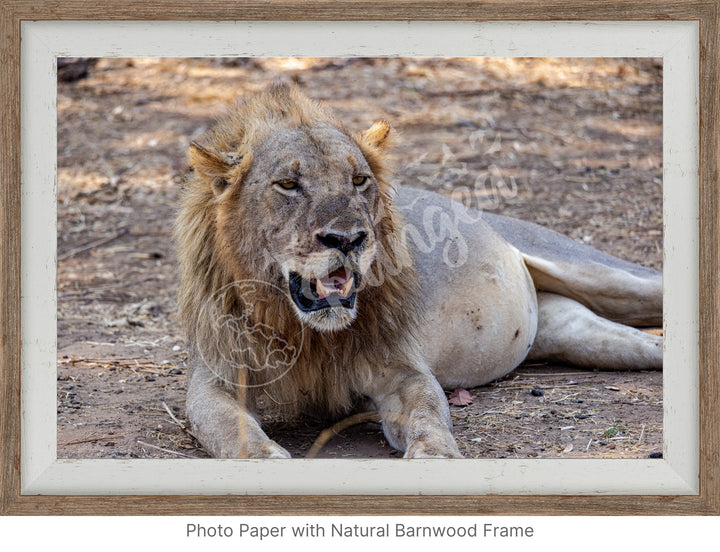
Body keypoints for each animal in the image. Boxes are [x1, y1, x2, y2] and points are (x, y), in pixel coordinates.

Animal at [173, 84, 660, 460]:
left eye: (359, 180)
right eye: (288, 185)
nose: (348, 239)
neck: (307, 334)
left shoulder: (401, 368)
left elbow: (428, 412)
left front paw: (437, 455)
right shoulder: (216, 378)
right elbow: (231, 429)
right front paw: (265, 458)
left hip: (603, 275)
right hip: (582, 336)